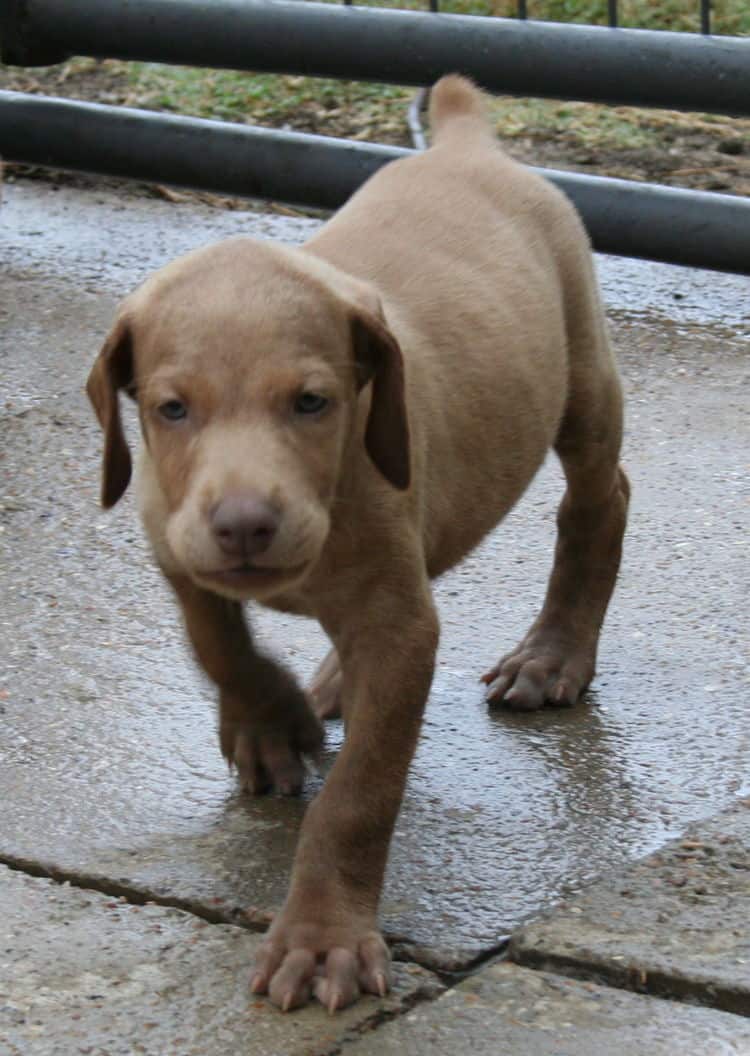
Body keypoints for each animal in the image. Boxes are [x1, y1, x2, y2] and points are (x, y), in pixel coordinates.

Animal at [88, 76, 629, 1013]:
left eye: (312, 402)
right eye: (171, 409)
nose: (244, 525)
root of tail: (465, 141)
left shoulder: (397, 628)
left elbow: (359, 796)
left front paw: (321, 941)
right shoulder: (175, 539)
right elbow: (216, 641)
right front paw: (270, 721)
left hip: (583, 380)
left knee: (599, 503)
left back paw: (552, 656)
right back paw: (331, 682)